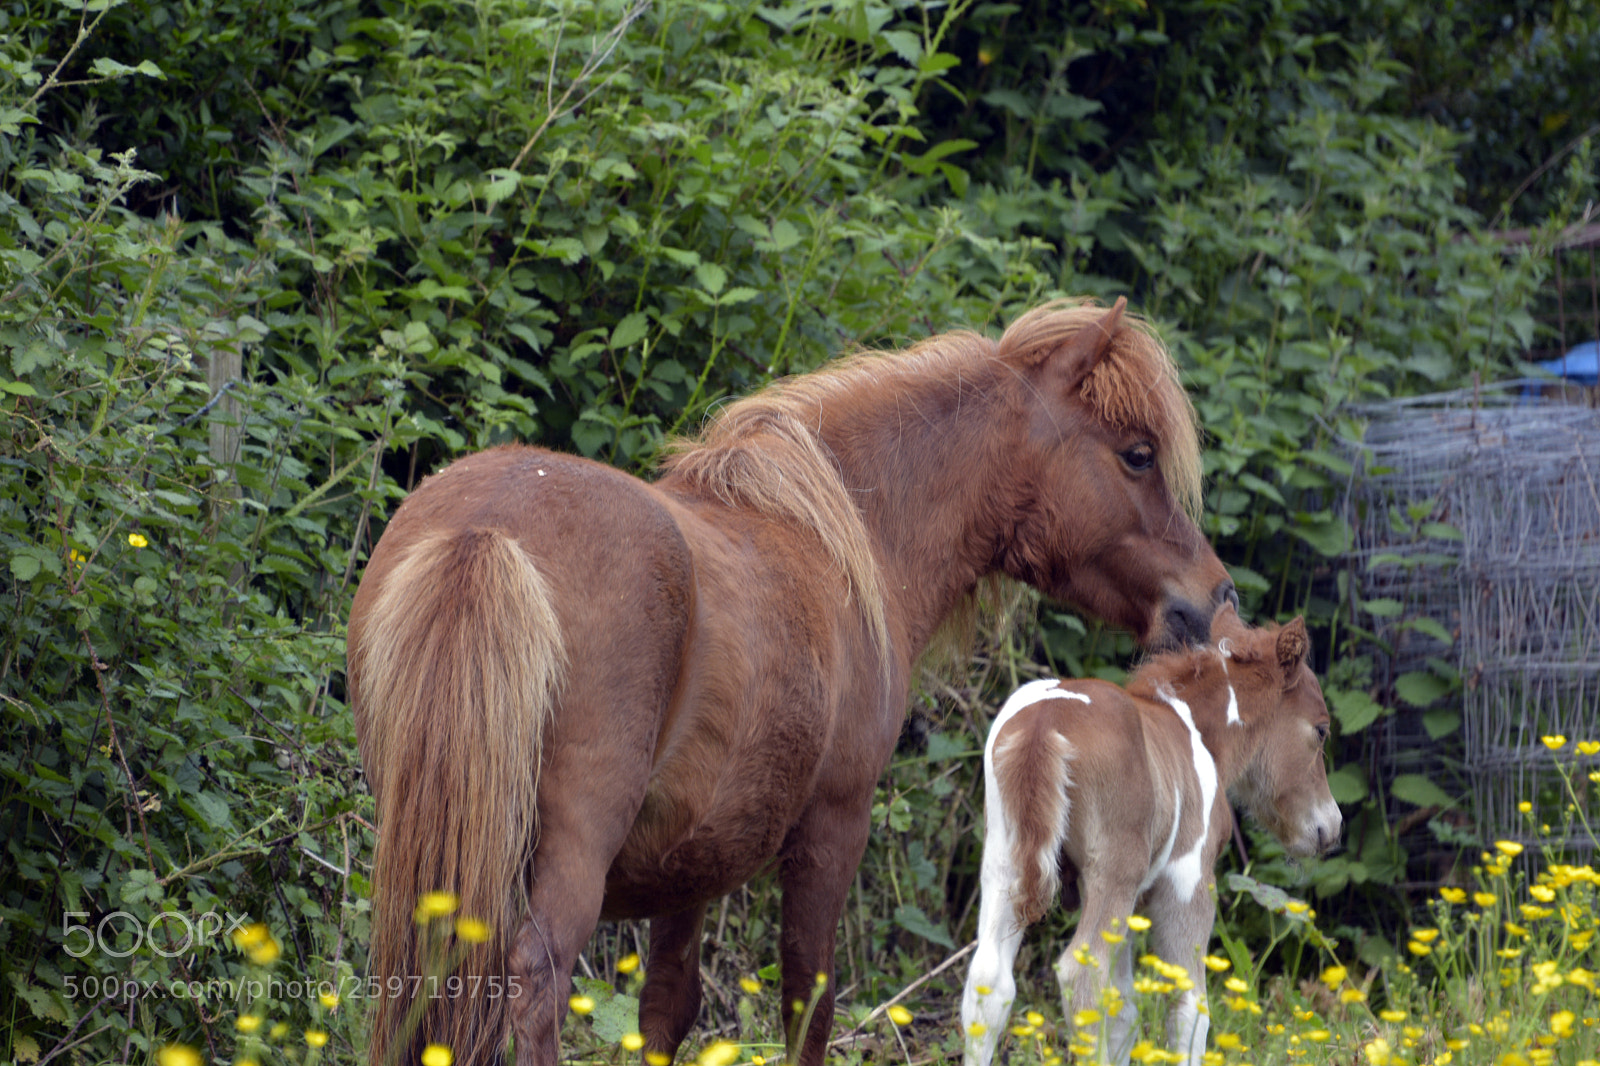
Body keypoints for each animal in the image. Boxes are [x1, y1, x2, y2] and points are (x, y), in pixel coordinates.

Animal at [345, 298, 1237, 1066]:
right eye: (1136, 454)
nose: (1213, 598)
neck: (847, 536)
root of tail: (484, 531)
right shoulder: (832, 827)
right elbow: (809, 1001)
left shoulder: (688, 863)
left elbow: (667, 1008)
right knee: (534, 981)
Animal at [959, 601, 1341, 1066]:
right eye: (1320, 730)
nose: (1331, 826)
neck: (1196, 731)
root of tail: (1044, 725)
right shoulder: (1188, 880)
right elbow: (1189, 1004)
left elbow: (1124, 1009)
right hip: (1114, 871)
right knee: (1082, 975)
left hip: (1005, 861)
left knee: (989, 980)